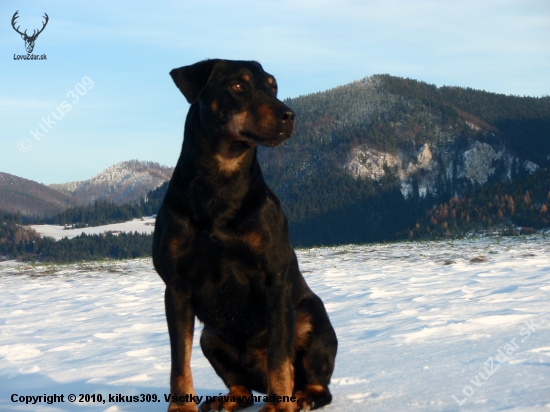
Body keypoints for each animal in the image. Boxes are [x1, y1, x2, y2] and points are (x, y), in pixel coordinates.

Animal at [153, 58, 338, 412]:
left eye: (272, 86)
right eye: (237, 85)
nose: (288, 115)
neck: (220, 180)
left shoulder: (274, 282)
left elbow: (280, 358)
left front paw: (280, 407)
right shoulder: (177, 286)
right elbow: (179, 361)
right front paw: (181, 408)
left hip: (313, 319)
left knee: (317, 383)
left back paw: (302, 397)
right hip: (210, 337)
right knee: (242, 386)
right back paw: (226, 400)